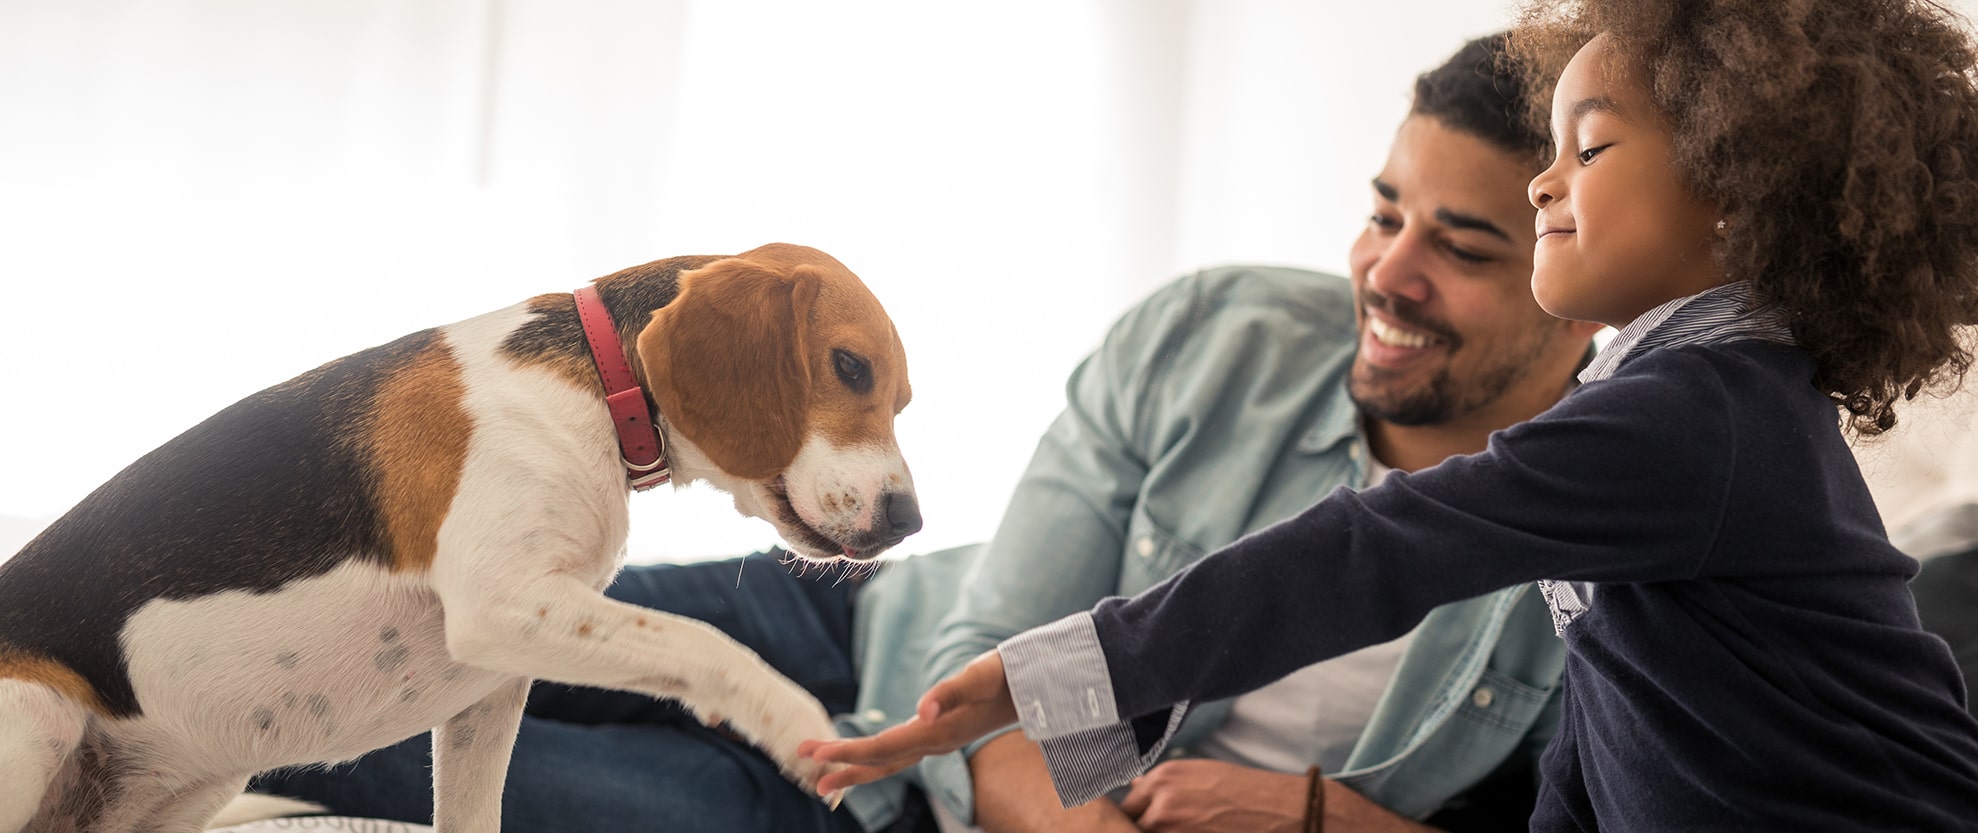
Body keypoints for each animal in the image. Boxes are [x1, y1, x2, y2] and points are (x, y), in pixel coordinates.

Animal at [0, 241, 917, 831]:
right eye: (850, 368)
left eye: (901, 401)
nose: (910, 520)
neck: (600, 385)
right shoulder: (500, 605)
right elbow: (706, 641)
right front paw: (795, 722)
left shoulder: (493, 684)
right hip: (37, 717)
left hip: (196, 787)